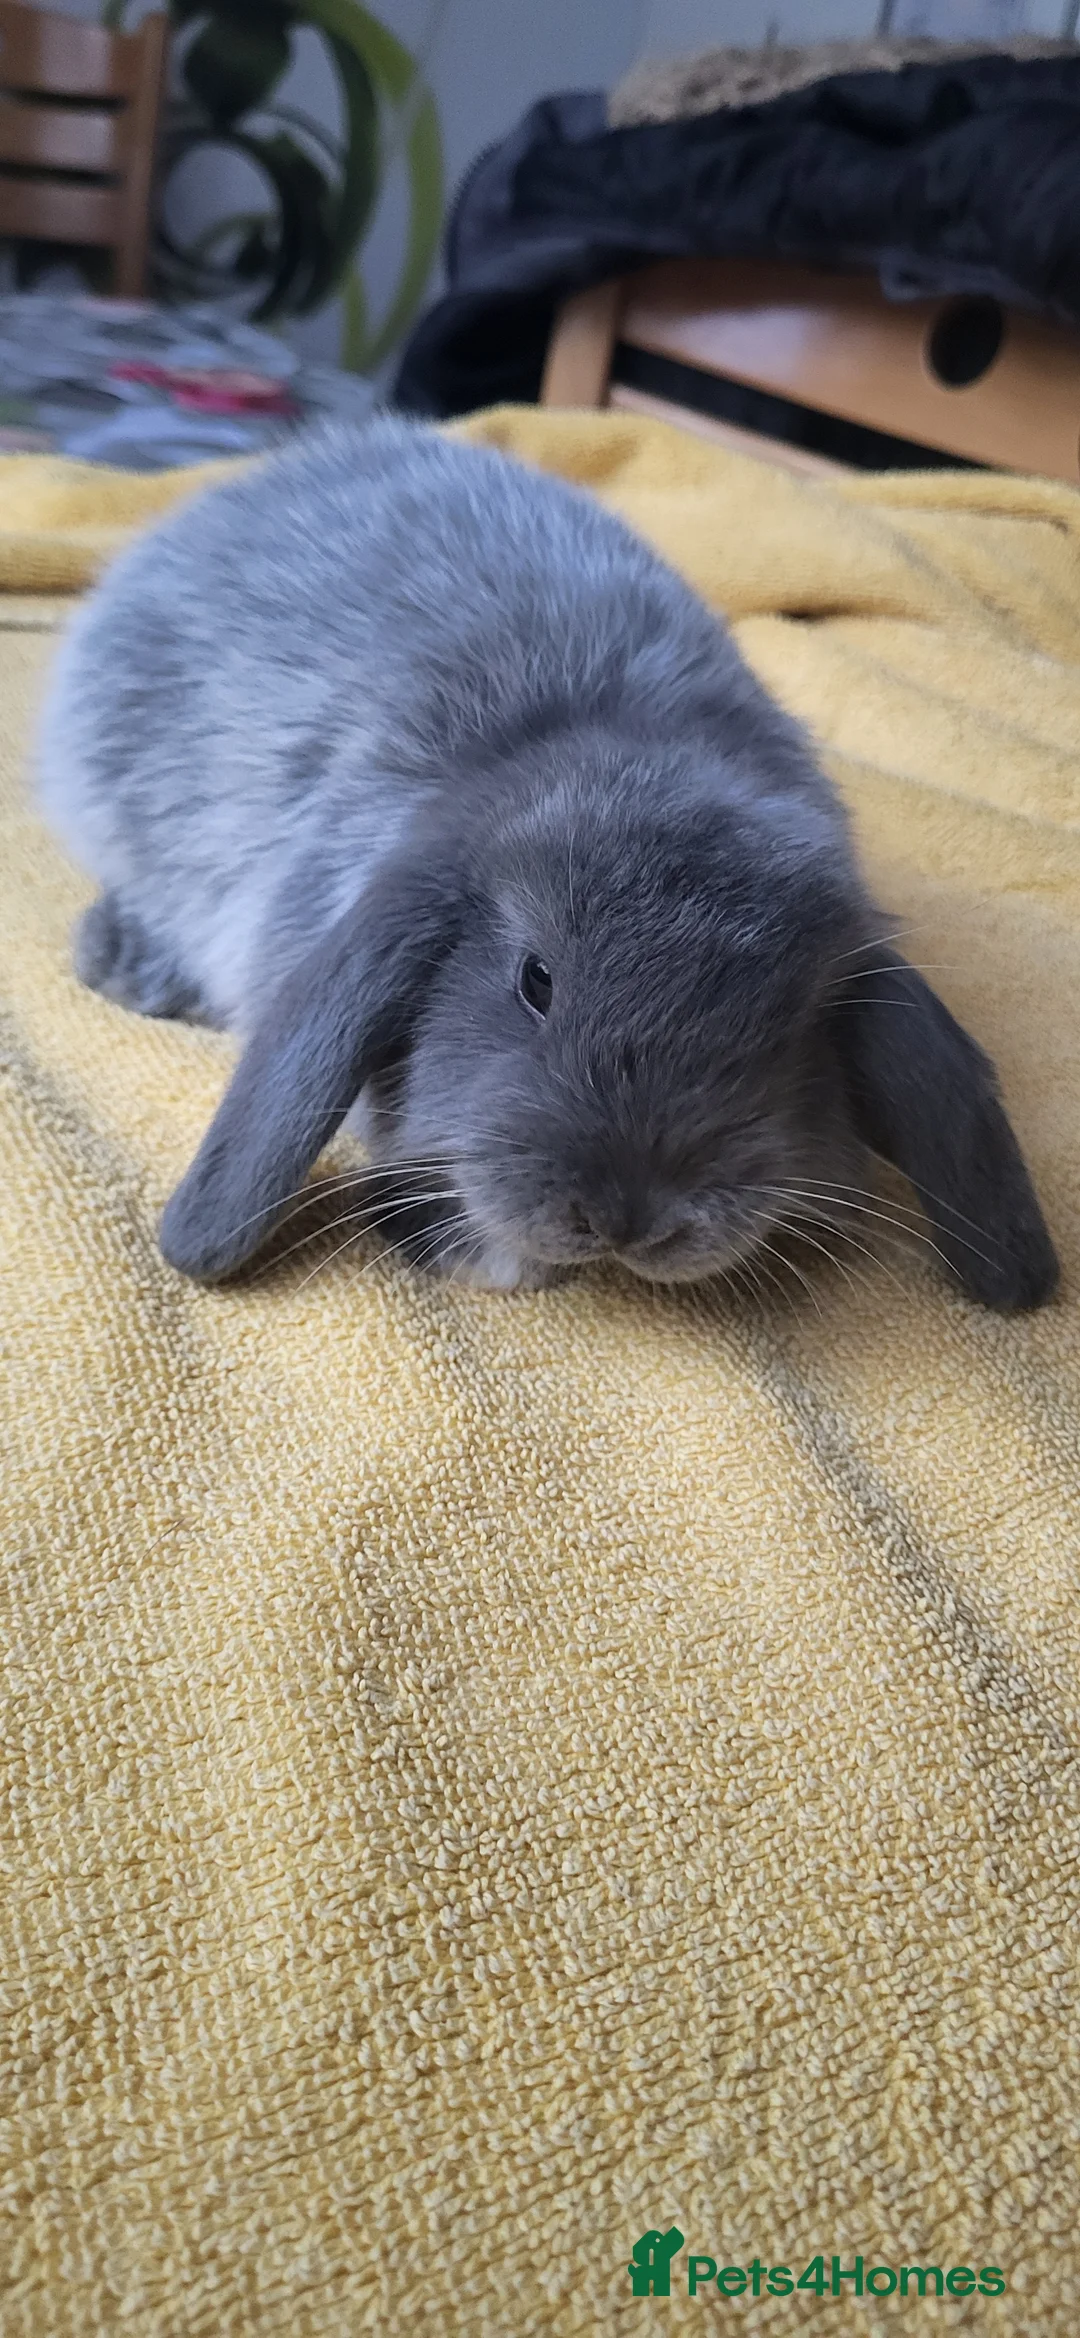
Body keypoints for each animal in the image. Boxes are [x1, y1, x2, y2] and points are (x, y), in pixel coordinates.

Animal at [36, 415, 1057, 1310]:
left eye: (790, 1029)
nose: (628, 1218)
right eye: (535, 981)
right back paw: (126, 961)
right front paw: (485, 1255)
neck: (614, 738)